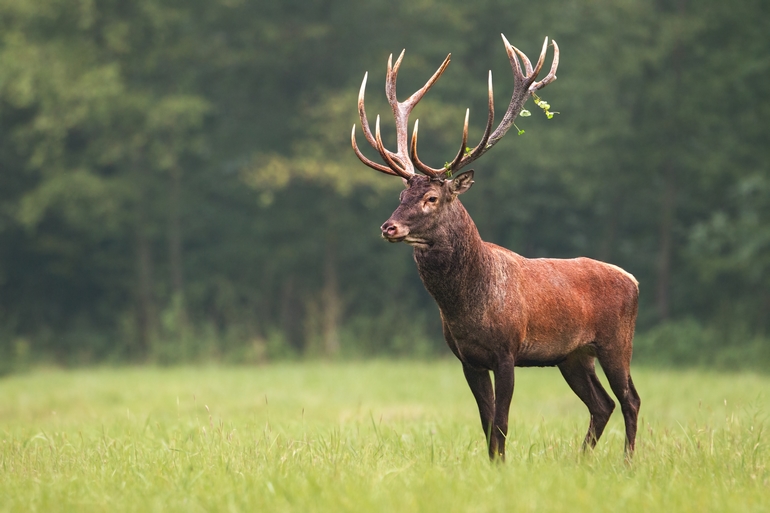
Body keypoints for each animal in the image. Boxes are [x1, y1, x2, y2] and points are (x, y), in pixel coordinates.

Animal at [352, 36, 640, 460]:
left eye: (432, 198)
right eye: (401, 195)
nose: (389, 227)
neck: (467, 305)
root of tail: (634, 280)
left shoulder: (508, 350)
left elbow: (502, 422)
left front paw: (502, 467)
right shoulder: (467, 358)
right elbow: (486, 422)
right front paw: (492, 466)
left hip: (617, 341)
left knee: (630, 399)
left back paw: (628, 462)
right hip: (572, 356)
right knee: (602, 404)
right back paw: (581, 461)